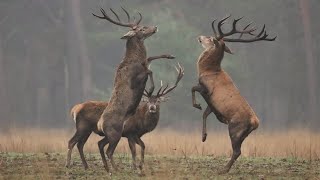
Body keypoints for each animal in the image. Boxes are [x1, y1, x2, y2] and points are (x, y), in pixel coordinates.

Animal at [90, 7, 175, 173]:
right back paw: (115, 169)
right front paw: (151, 88)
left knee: (101, 145)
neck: (134, 59)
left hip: (109, 135)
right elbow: (149, 71)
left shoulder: (144, 62)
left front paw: (169, 55)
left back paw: (108, 168)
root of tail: (100, 123)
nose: (155, 27)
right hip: (115, 133)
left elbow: (150, 59)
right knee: (109, 150)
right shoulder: (136, 77)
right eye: (141, 28)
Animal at [191, 15, 276, 174]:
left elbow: (192, 88)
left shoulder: (207, 90)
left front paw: (196, 105)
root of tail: (255, 122)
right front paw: (204, 137)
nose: (199, 37)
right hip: (242, 134)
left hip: (235, 128)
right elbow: (205, 114)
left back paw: (223, 169)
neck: (208, 71)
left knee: (237, 151)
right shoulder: (213, 104)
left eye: (210, 38)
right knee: (238, 150)